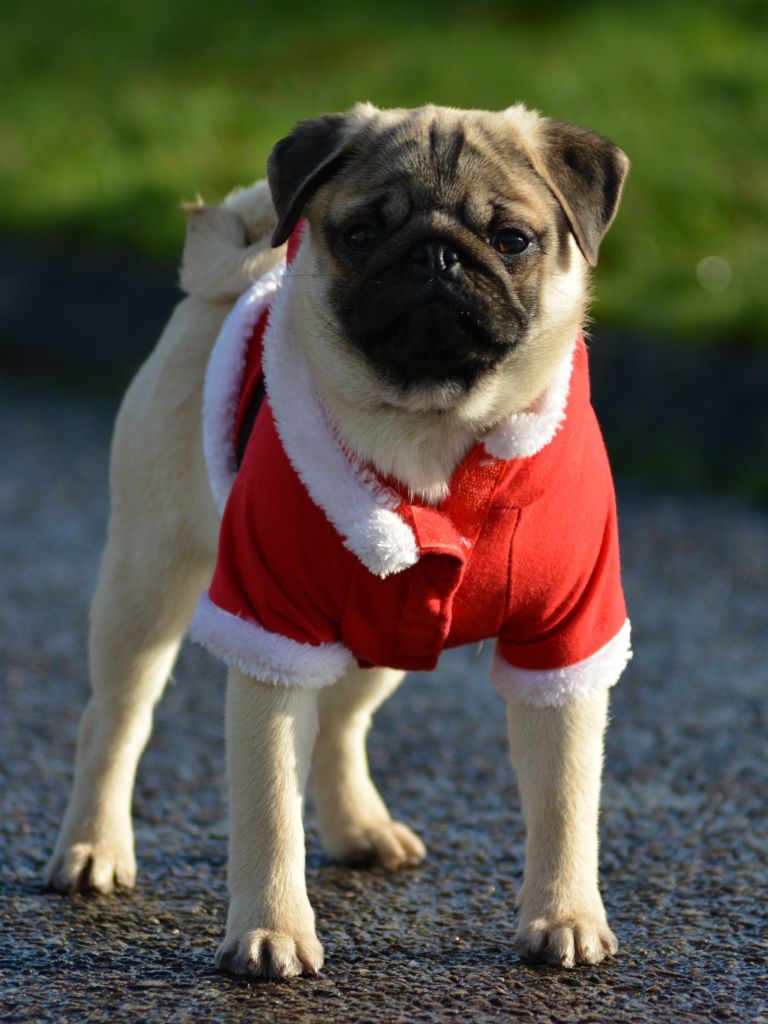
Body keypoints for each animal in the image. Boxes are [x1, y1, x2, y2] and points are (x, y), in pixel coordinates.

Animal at [45, 101, 630, 974]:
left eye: (510, 239)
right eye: (361, 233)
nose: (435, 255)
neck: (431, 427)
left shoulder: (565, 643)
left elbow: (565, 799)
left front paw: (564, 915)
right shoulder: (268, 629)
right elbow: (267, 809)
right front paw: (272, 930)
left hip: (381, 630)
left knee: (342, 724)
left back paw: (360, 828)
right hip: (148, 579)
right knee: (116, 718)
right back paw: (93, 847)